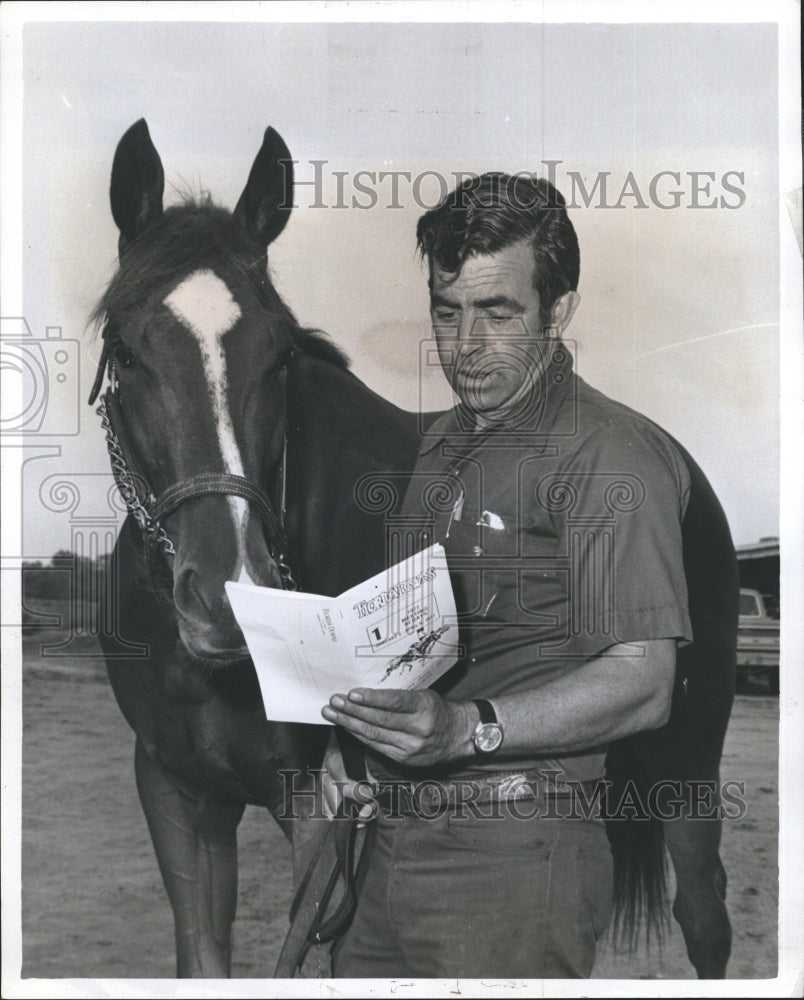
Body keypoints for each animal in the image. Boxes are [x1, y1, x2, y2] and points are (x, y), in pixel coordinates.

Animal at [91, 117, 740, 976]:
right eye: (127, 351)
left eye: (279, 355)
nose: (229, 598)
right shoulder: (178, 792)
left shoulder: (320, 811)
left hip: (689, 767)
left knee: (703, 914)